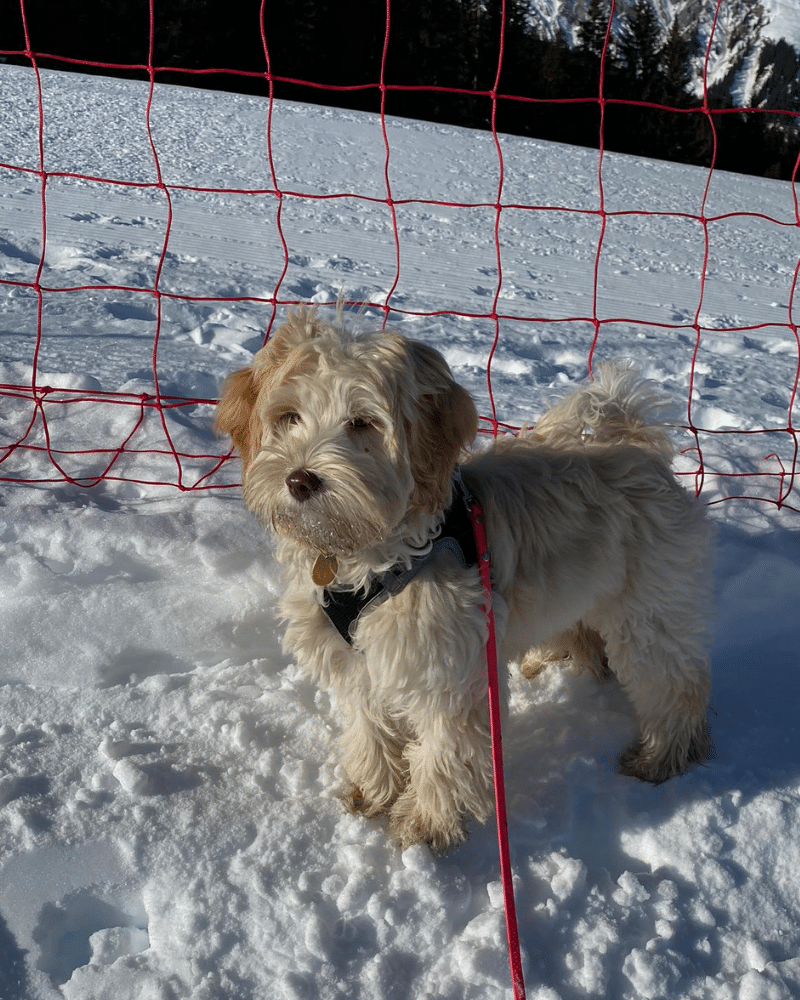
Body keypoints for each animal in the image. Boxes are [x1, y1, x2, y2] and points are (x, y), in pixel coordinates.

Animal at [215, 307, 712, 852]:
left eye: (362, 423)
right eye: (289, 417)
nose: (300, 481)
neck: (374, 559)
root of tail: (640, 447)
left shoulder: (452, 666)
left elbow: (445, 750)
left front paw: (425, 825)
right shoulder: (356, 660)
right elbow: (369, 725)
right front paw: (373, 791)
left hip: (649, 611)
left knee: (675, 684)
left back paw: (662, 757)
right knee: (584, 635)